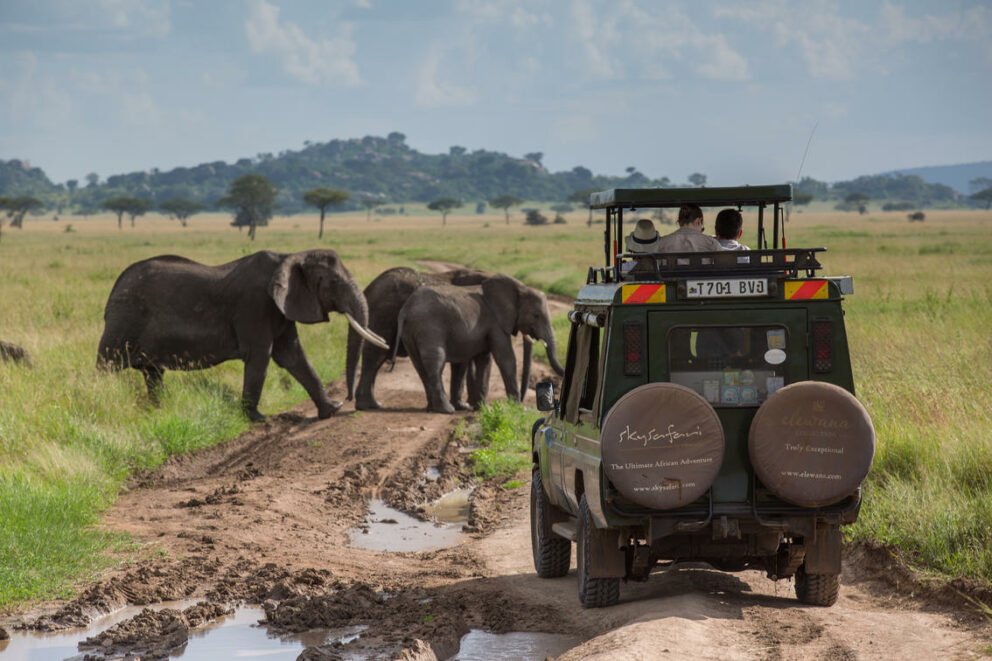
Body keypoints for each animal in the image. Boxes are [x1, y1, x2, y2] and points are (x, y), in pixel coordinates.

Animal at [97, 248, 390, 422]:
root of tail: (115, 287)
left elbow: (293, 356)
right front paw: (257, 419)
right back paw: (105, 394)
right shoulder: (255, 305)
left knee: (153, 373)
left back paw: (158, 411)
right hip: (124, 320)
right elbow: (261, 357)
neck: (290, 256)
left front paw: (331, 410)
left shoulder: (281, 308)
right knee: (109, 365)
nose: (348, 400)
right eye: (333, 283)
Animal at [346, 266, 494, 410]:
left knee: (377, 356)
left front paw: (466, 405)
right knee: (375, 355)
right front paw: (465, 406)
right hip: (384, 313)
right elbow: (463, 362)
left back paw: (371, 405)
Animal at [394, 274, 564, 412]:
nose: (522, 400)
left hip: (410, 332)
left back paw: (432, 408)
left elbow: (485, 360)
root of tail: (405, 309)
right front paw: (515, 407)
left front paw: (482, 408)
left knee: (420, 367)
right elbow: (505, 358)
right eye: (536, 315)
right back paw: (446, 410)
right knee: (436, 363)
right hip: (429, 328)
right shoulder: (496, 323)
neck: (519, 287)